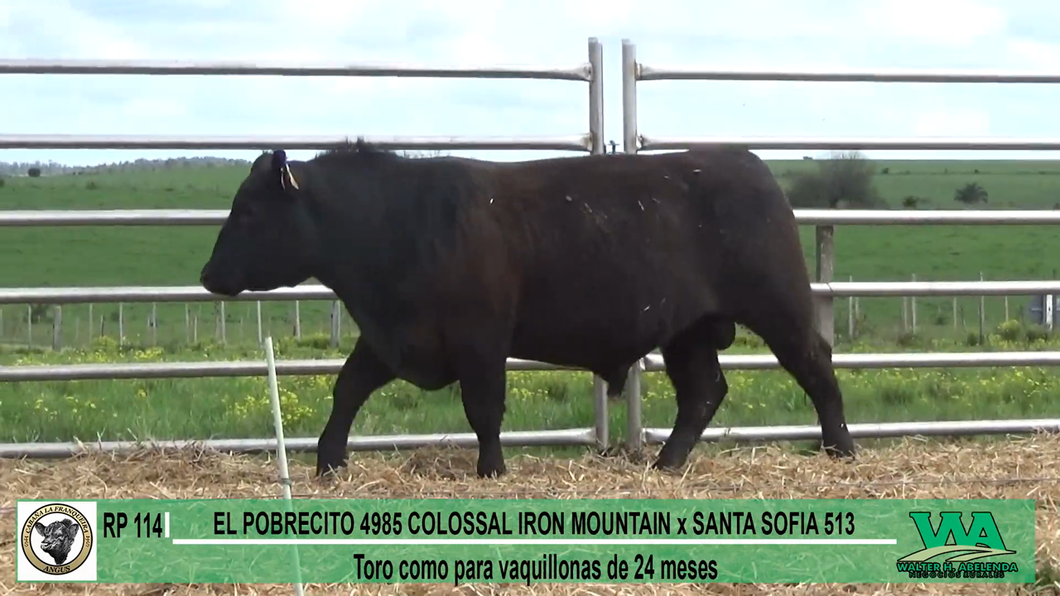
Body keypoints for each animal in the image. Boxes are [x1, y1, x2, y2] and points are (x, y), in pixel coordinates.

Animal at [199, 139, 856, 477]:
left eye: (249, 211)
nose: (207, 276)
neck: (399, 223)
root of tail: (745, 161)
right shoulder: (393, 337)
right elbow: (348, 389)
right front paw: (328, 460)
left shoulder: (480, 339)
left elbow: (484, 408)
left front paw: (492, 469)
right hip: (687, 330)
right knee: (703, 392)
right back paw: (666, 463)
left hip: (778, 307)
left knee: (816, 367)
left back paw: (840, 448)